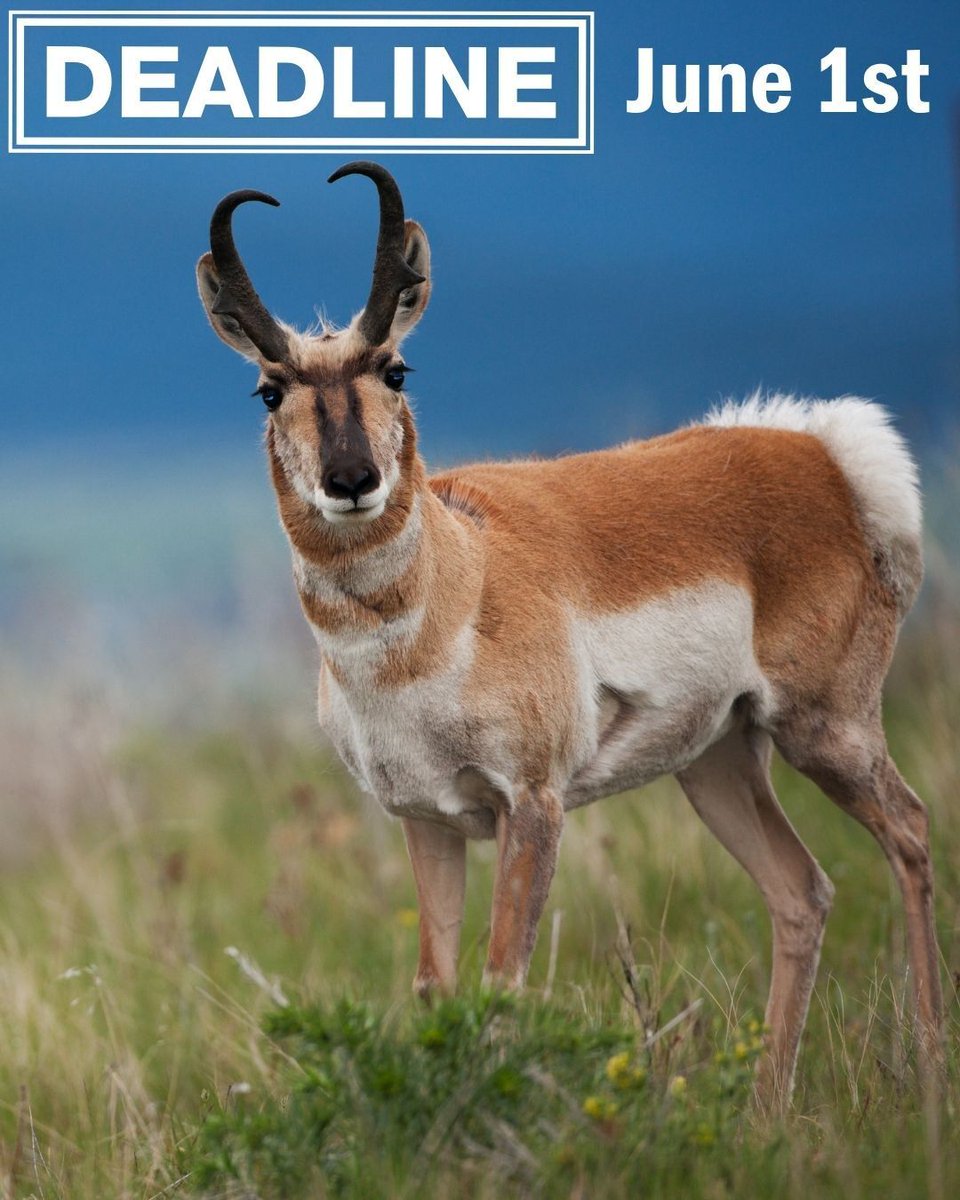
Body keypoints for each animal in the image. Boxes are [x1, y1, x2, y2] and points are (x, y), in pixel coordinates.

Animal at [196, 161, 942, 1107]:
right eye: (269, 387)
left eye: (396, 368)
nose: (352, 479)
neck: (458, 583)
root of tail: (821, 457)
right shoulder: (427, 820)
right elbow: (436, 986)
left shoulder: (532, 805)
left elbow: (501, 981)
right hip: (718, 761)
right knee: (801, 891)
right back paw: (769, 1108)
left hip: (825, 730)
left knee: (910, 833)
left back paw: (929, 1075)